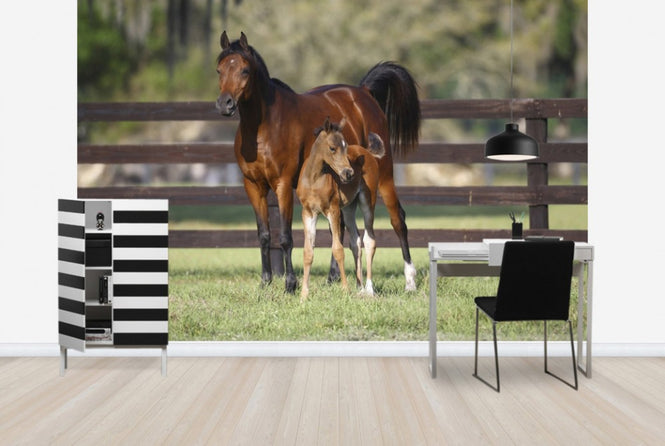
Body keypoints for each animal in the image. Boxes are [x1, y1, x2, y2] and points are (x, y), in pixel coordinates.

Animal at [297, 118, 385, 301]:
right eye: (332, 148)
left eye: (346, 147)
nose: (348, 173)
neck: (314, 179)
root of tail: (368, 153)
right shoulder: (308, 212)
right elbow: (308, 252)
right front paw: (303, 295)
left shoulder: (333, 210)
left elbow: (337, 249)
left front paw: (345, 290)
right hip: (349, 208)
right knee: (355, 241)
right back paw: (359, 288)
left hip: (367, 201)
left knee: (369, 240)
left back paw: (369, 289)